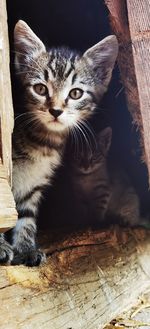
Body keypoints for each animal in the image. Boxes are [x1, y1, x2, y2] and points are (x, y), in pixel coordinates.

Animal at [0, 19, 118, 266]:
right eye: (40, 88)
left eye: (75, 93)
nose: (55, 110)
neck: (43, 143)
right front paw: (2, 247)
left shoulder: (34, 184)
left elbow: (26, 216)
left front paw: (26, 248)